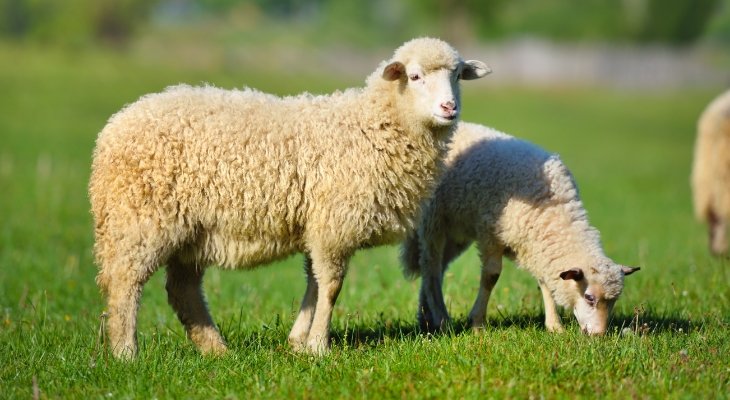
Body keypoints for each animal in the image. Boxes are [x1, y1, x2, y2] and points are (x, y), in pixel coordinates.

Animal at [89, 38, 490, 358]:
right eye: (416, 76)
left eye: (457, 75)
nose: (449, 108)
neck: (373, 125)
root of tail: (112, 128)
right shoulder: (333, 223)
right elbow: (331, 286)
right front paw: (319, 346)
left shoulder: (319, 223)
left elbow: (314, 281)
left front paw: (299, 341)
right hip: (139, 220)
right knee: (125, 283)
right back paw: (126, 353)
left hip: (192, 232)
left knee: (182, 291)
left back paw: (216, 350)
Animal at [401, 122, 639, 335]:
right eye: (589, 297)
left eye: (614, 301)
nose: (598, 335)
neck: (553, 211)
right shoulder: (490, 234)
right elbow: (491, 277)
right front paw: (477, 323)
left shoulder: (536, 246)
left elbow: (545, 282)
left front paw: (554, 326)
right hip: (434, 220)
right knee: (431, 267)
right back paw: (440, 319)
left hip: (456, 232)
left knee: (436, 267)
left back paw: (426, 317)